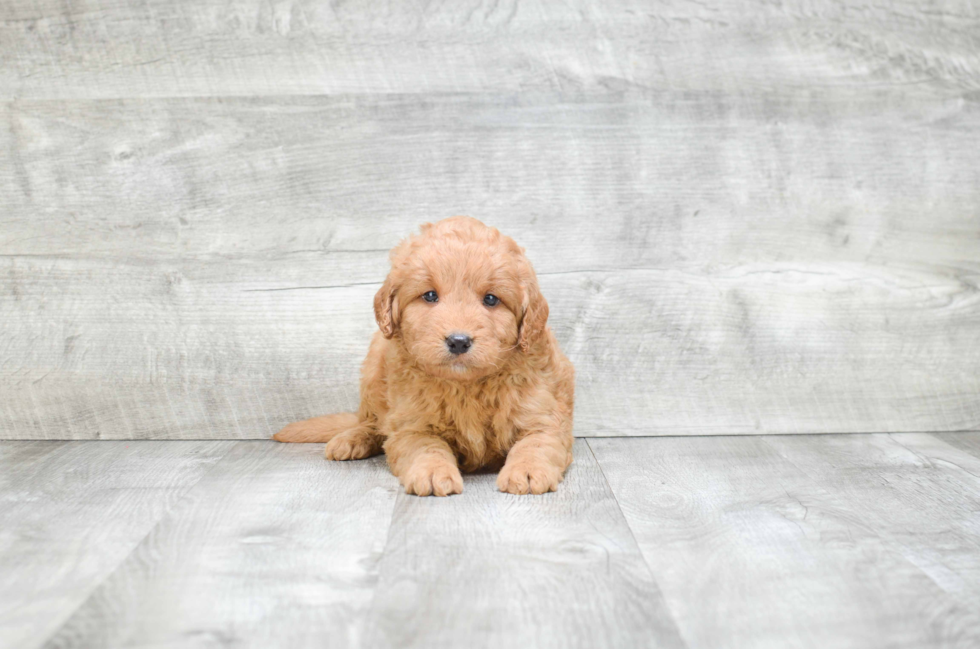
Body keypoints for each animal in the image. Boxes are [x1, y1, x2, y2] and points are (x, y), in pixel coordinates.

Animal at [272, 215, 576, 494]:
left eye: (491, 299)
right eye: (430, 296)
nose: (458, 341)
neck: (465, 387)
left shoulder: (543, 415)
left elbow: (537, 443)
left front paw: (527, 470)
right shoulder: (411, 424)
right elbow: (426, 447)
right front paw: (432, 473)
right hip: (372, 369)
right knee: (371, 421)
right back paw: (351, 439)